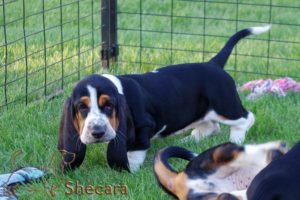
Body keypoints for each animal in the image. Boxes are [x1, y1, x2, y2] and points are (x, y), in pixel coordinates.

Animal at [57, 24, 270, 172]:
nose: (97, 132)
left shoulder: (144, 126)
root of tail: (213, 64)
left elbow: (136, 149)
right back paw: (190, 140)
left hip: (224, 106)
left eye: (108, 105)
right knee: (210, 126)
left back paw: (236, 138)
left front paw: (130, 168)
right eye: (82, 107)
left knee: (246, 118)